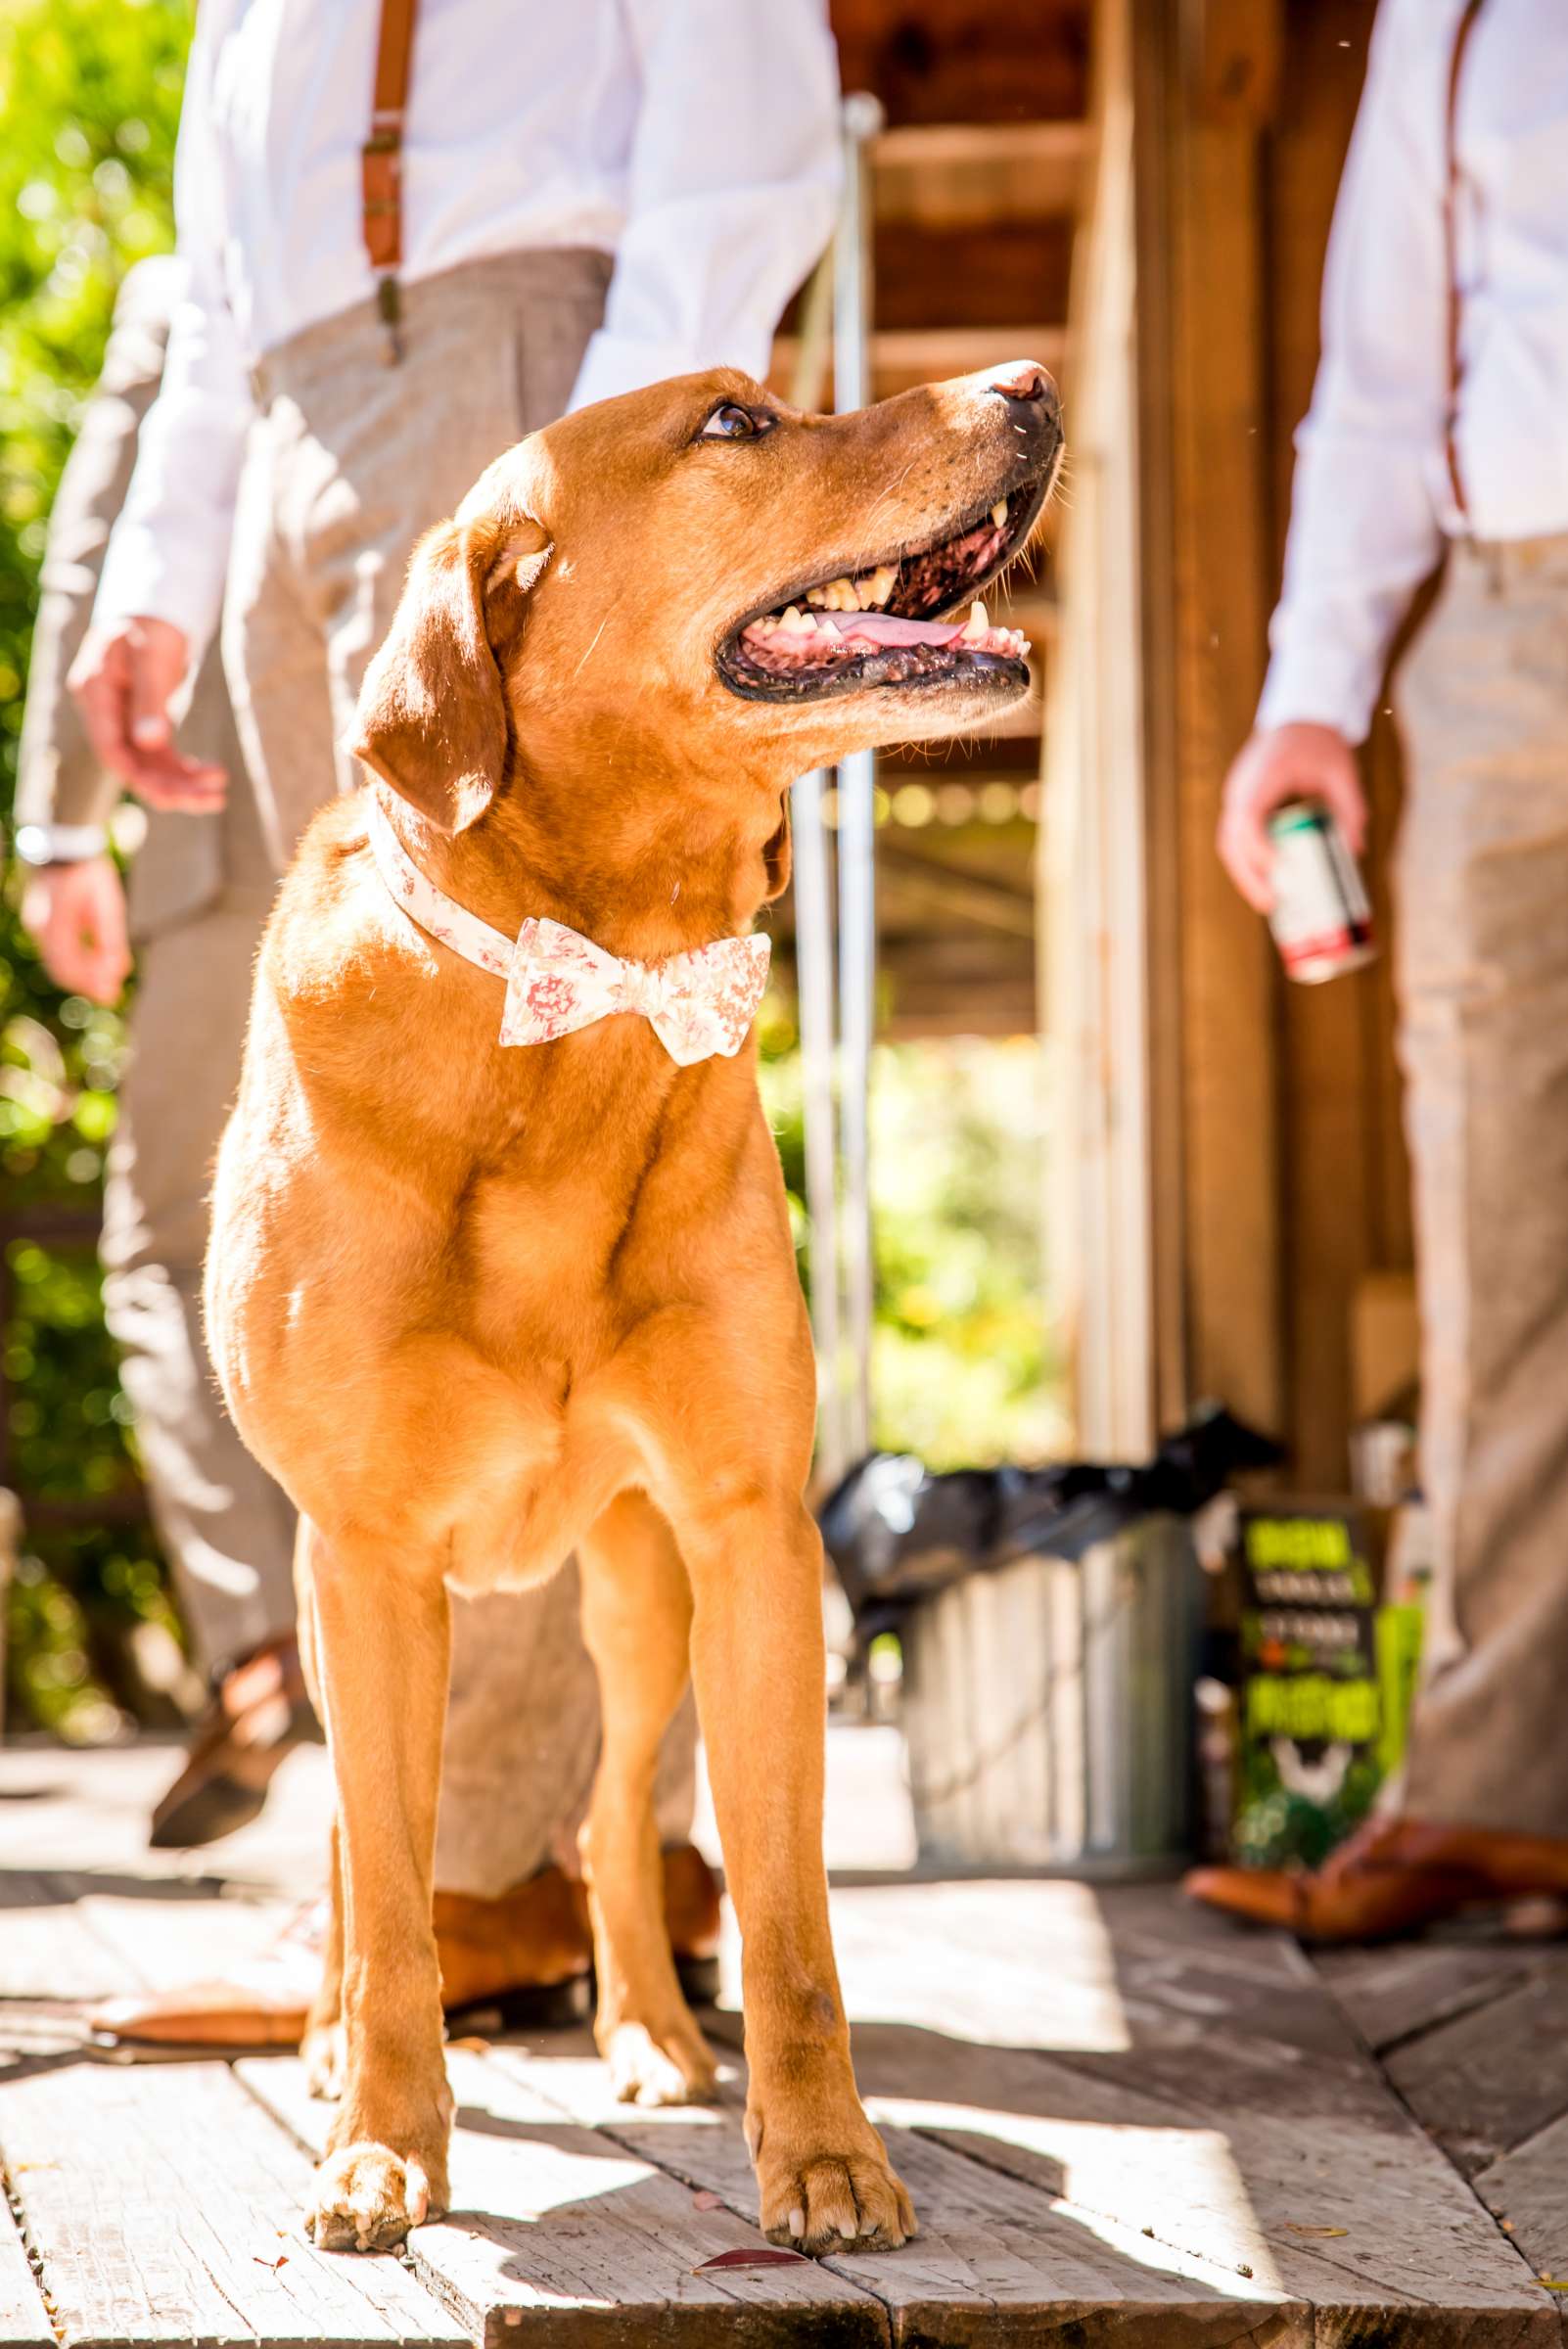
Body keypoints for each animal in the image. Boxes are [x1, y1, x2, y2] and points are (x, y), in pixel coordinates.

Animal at [202, 356, 1065, 2245]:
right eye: (734, 422)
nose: (1031, 381)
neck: (590, 987)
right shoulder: (366, 1557)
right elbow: (390, 1896)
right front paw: (383, 2143)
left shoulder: (749, 1532)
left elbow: (792, 1917)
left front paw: (823, 2155)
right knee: (361, 1856)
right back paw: (329, 2048)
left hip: (634, 1582)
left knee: (608, 1820)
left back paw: (654, 2036)